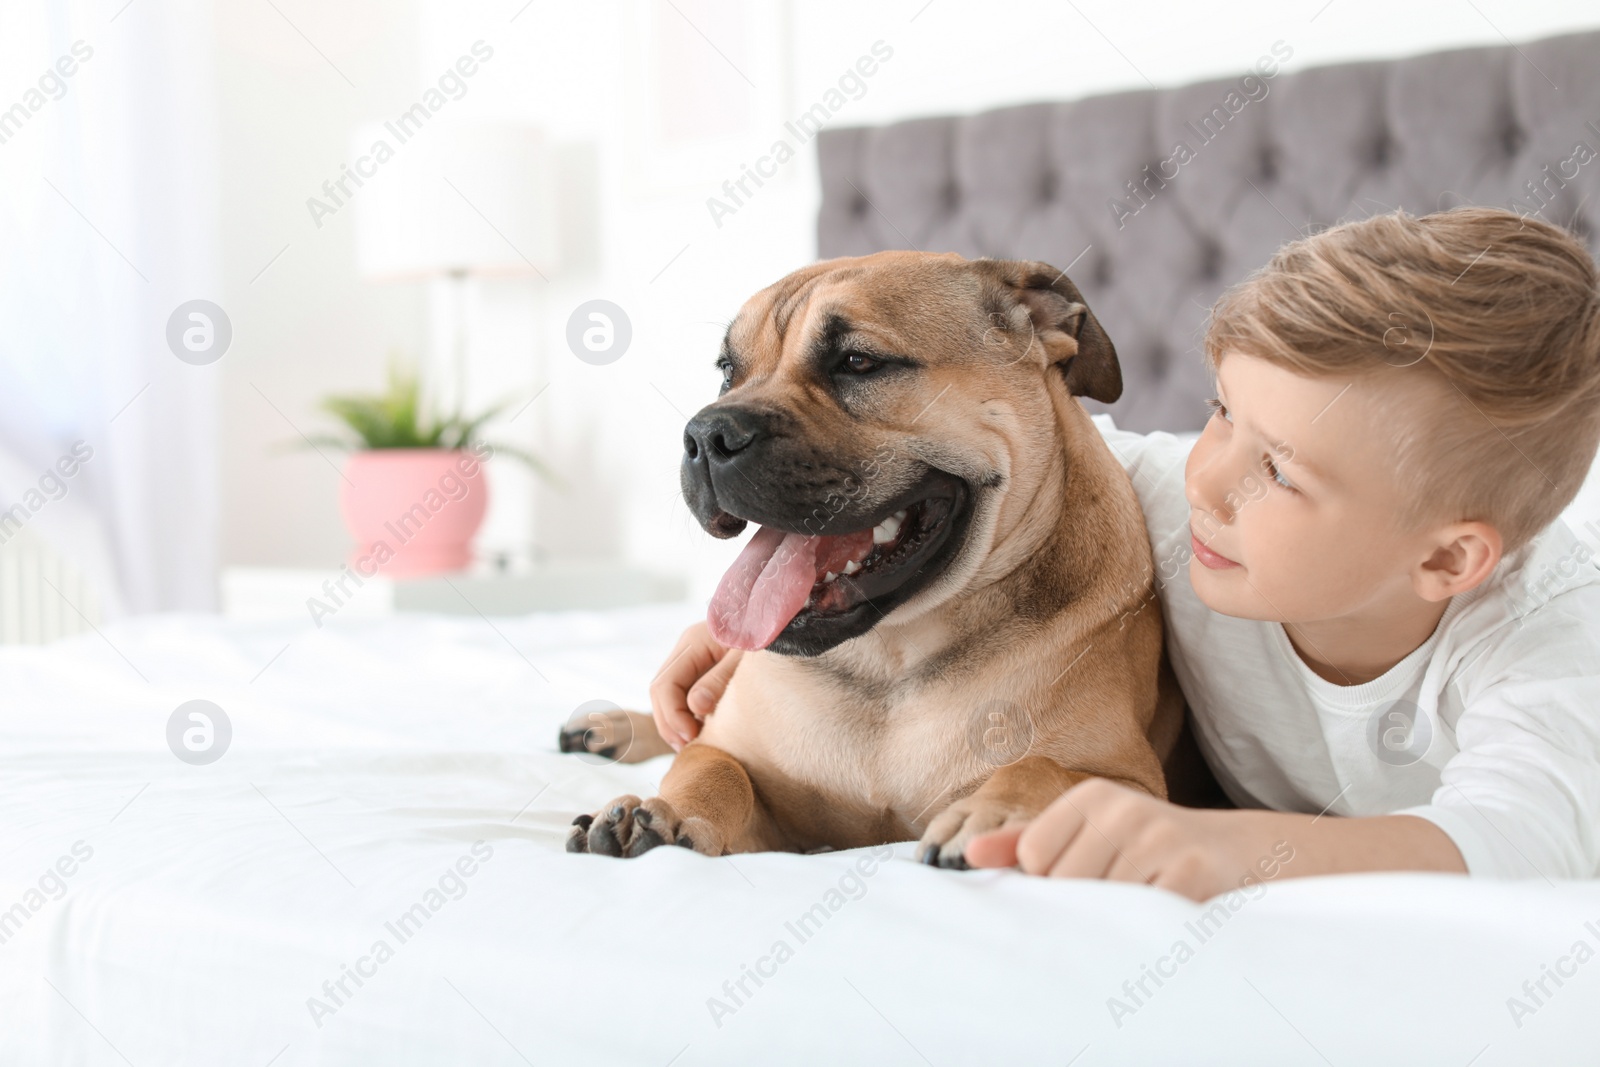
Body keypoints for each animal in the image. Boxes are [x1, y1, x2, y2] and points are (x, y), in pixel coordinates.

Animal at [556, 252, 1184, 870]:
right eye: (727, 370)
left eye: (858, 362)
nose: (705, 434)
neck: (889, 661)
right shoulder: (750, 775)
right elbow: (713, 765)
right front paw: (666, 810)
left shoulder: (1136, 786)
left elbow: (1046, 770)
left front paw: (992, 814)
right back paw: (608, 728)